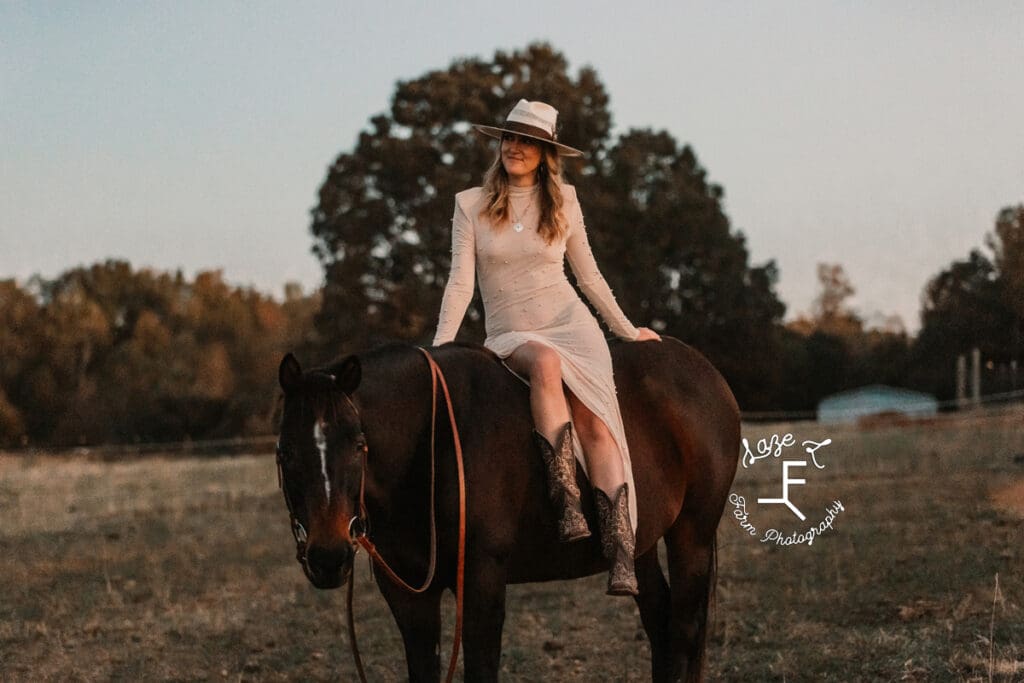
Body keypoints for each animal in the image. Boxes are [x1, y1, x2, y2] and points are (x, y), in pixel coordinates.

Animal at [276, 337, 741, 683]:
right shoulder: (409, 595)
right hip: (639, 545)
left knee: (682, 630)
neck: (431, 442)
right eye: (286, 453)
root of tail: (705, 372)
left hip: (692, 536)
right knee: (660, 624)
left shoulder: (482, 581)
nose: (328, 556)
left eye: (358, 446)